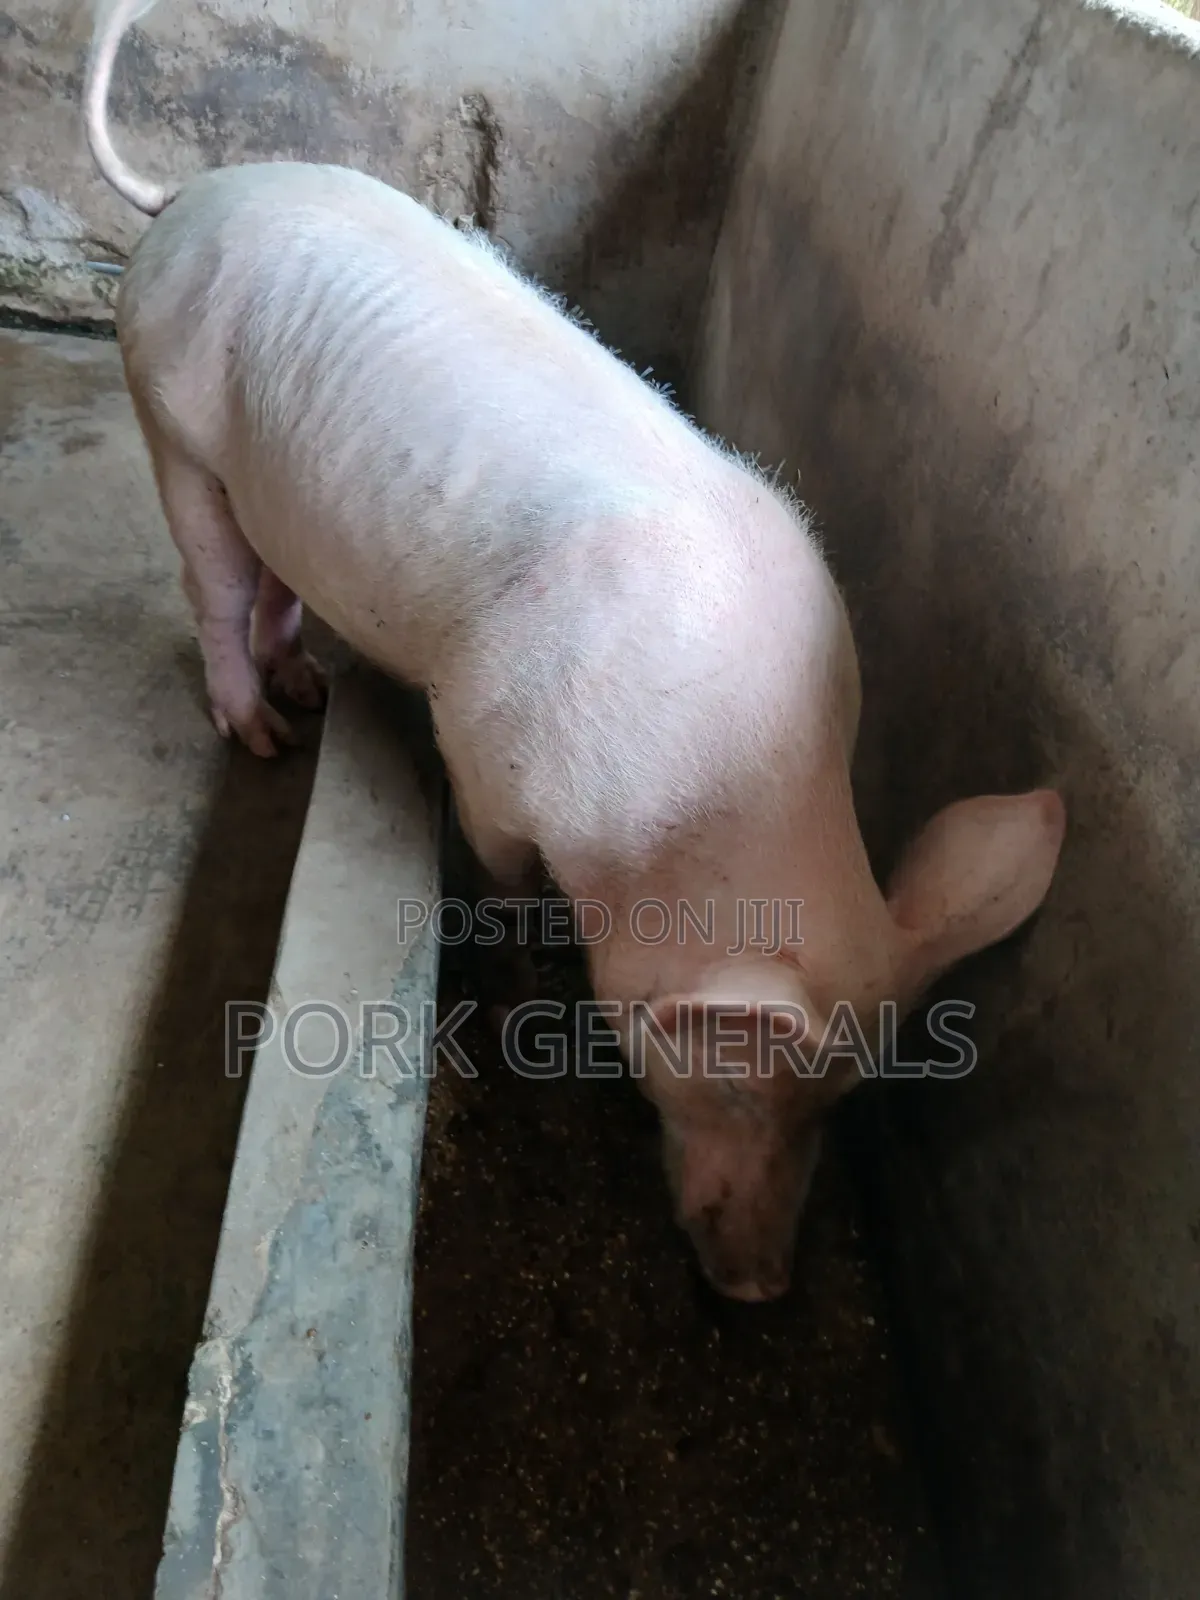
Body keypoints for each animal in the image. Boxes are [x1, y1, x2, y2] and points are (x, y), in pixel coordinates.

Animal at [85, 0, 1066, 1301]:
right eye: (736, 1080)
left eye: (841, 1102)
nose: (760, 1288)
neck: (696, 812)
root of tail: (195, 192)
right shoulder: (488, 758)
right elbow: (502, 886)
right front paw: (517, 985)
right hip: (168, 413)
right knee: (213, 580)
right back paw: (264, 737)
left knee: (278, 574)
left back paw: (307, 688)